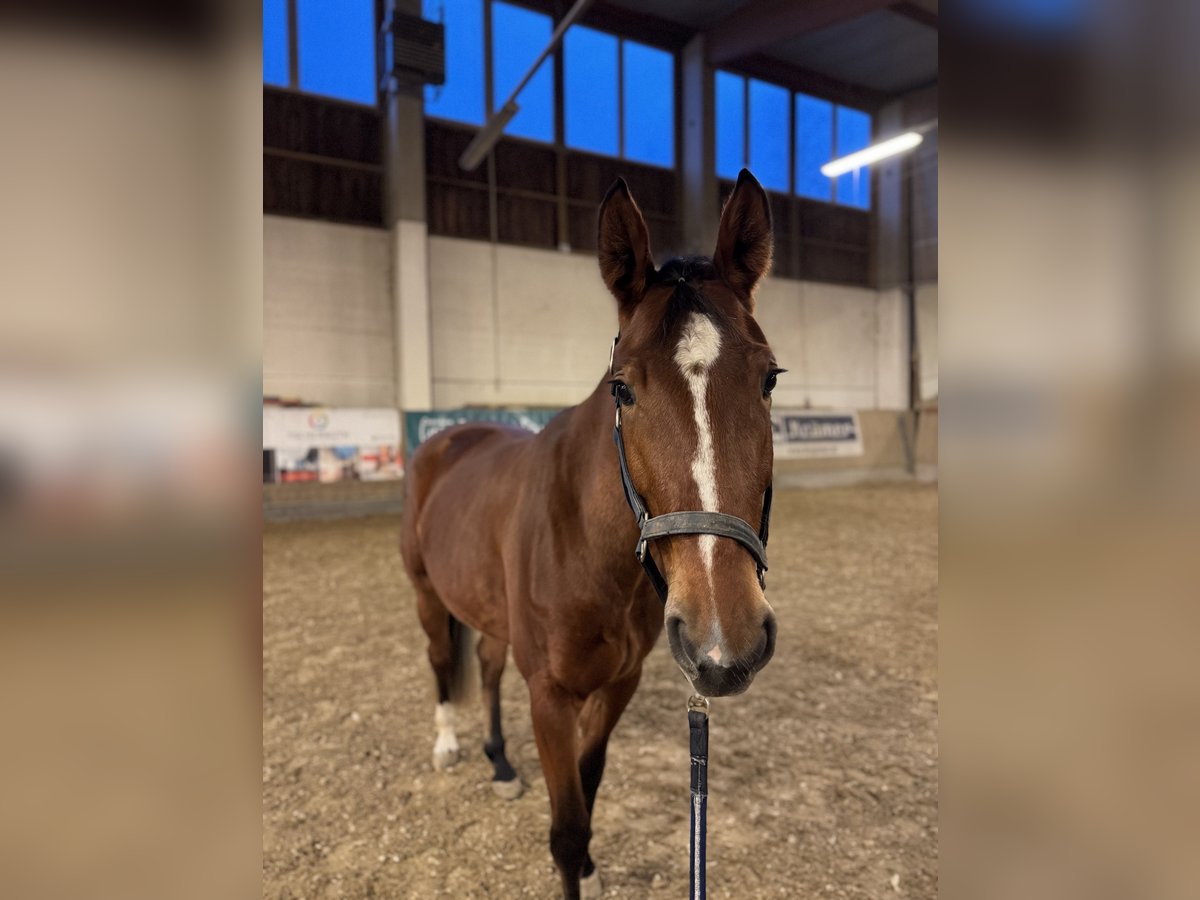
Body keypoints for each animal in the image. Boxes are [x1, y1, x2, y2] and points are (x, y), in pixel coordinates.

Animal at [398, 170, 782, 900]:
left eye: (770, 378)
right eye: (622, 388)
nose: (725, 642)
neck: (586, 543)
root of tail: (447, 439)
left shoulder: (616, 686)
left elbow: (591, 782)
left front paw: (592, 869)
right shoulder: (550, 695)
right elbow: (567, 828)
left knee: (486, 665)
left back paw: (500, 763)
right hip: (428, 595)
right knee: (439, 662)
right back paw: (446, 746)